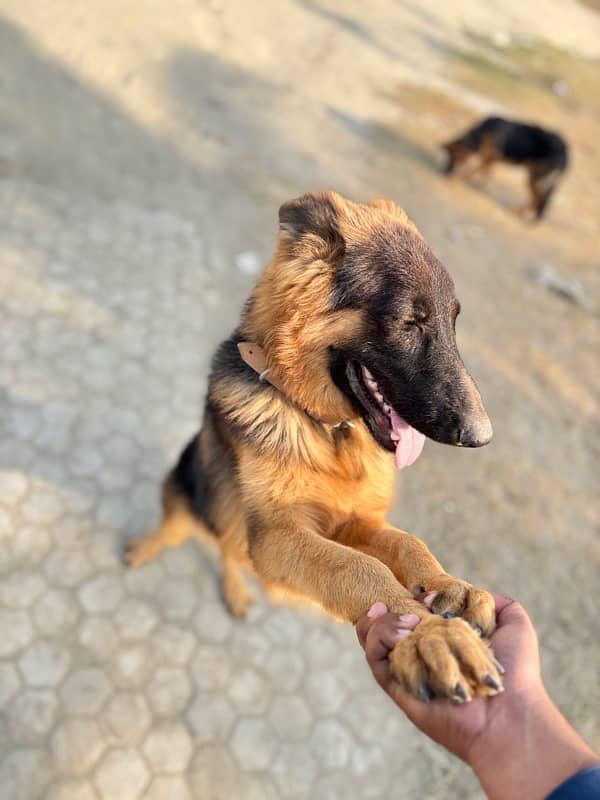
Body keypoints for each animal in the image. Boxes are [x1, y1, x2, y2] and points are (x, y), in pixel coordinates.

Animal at [126, 194, 502, 700]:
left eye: (452, 323)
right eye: (409, 322)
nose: (482, 435)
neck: (324, 429)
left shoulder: (354, 522)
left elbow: (408, 544)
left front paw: (448, 586)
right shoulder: (277, 534)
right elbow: (359, 569)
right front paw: (429, 633)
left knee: (226, 547)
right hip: (187, 493)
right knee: (187, 531)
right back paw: (146, 550)